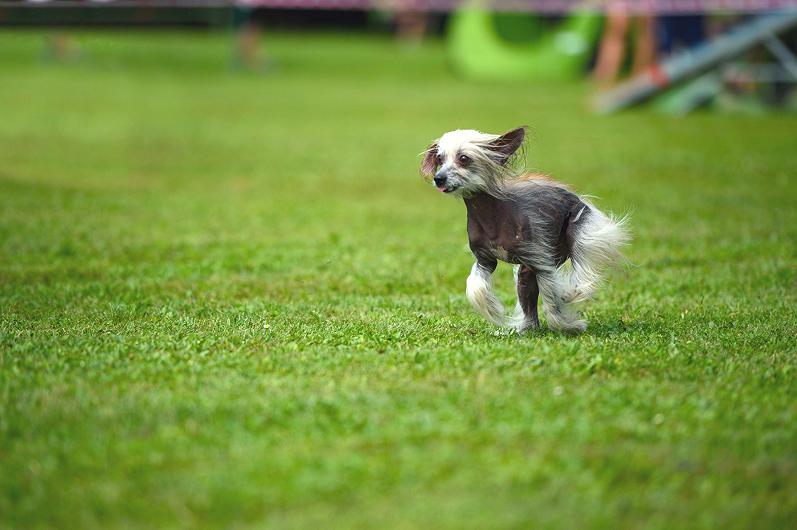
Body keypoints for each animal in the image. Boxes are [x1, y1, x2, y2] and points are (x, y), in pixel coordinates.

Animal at [420, 126, 632, 332]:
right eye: (440, 159)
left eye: (463, 158)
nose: (439, 178)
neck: (492, 217)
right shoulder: (485, 261)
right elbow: (475, 287)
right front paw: (494, 309)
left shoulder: (541, 261)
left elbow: (551, 299)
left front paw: (567, 324)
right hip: (528, 271)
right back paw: (527, 329)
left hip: (579, 232)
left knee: (582, 270)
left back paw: (571, 294)